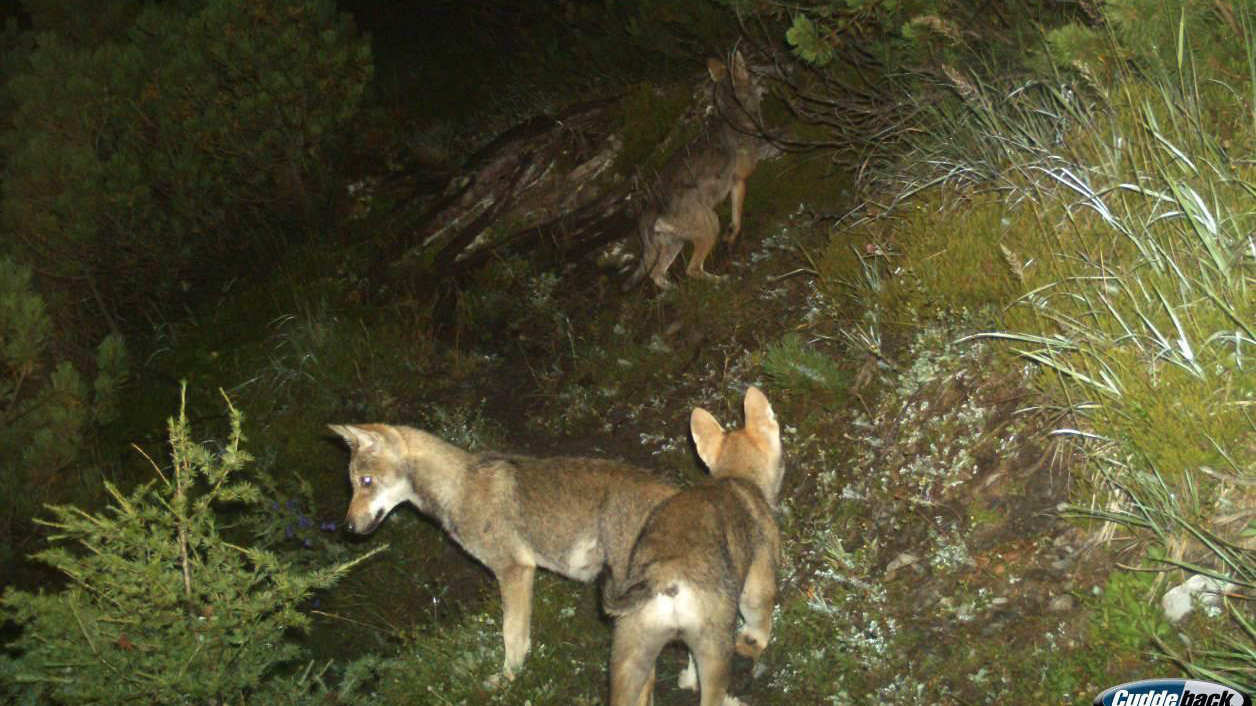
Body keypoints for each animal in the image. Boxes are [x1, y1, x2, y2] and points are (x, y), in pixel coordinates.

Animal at [327, 423, 678, 681]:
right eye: (353, 484)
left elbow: (512, 637)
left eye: (366, 481)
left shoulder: (514, 571)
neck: (458, 488)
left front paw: (509, 681)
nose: (347, 528)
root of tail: (676, 493)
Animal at [603, 386, 784, 706]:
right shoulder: (757, 584)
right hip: (714, 651)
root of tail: (663, 577)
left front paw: (687, 680)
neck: (735, 475)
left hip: (629, 658)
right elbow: (758, 627)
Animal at [625, 50, 772, 290]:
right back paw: (721, 281)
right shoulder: (740, 180)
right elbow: (738, 218)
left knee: (657, 274)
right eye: (754, 73)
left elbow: (736, 219)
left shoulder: (736, 184)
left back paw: (673, 290)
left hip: (675, 244)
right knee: (691, 270)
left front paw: (730, 238)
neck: (733, 115)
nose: (768, 86)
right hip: (711, 224)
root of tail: (650, 208)